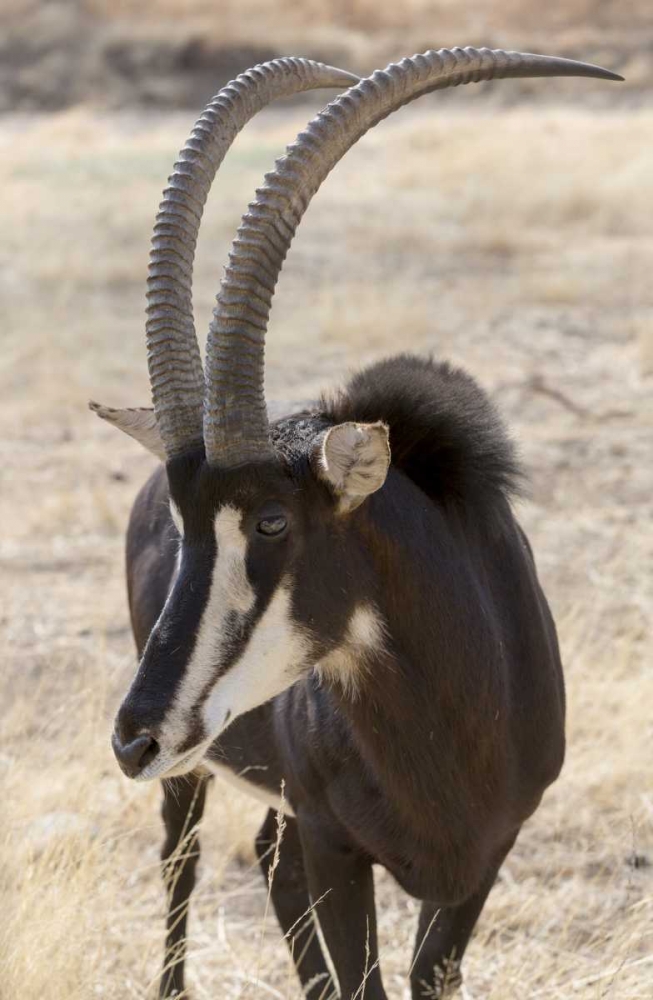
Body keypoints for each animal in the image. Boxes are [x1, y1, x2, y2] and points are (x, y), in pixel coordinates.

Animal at [93, 47, 620, 1000]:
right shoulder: (336, 845)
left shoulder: (485, 857)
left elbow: (423, 977)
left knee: (267, 863)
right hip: (201, 775)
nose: (133, 737)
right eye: (187, 527)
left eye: (272, 522)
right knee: (182, 864)